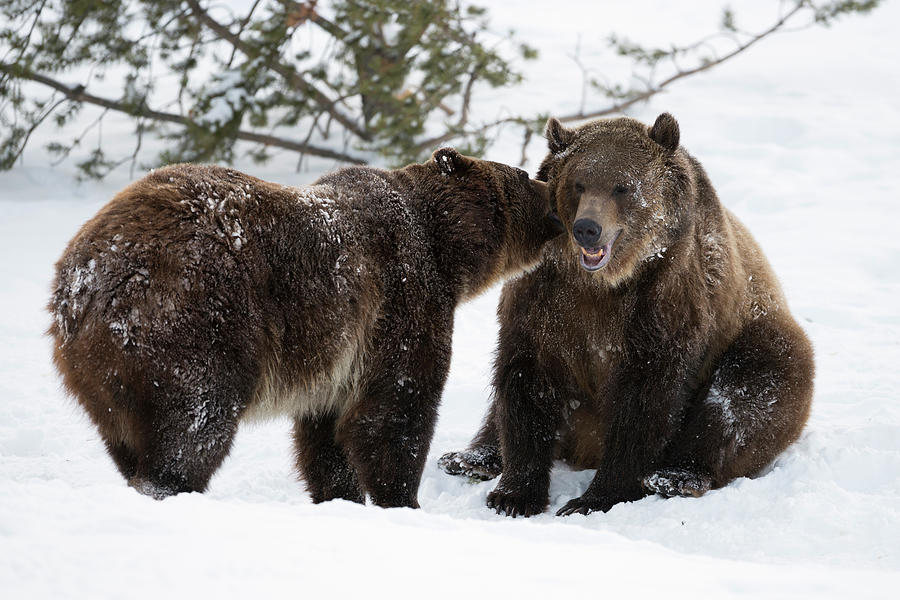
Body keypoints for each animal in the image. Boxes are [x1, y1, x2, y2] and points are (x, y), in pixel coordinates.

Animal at [49, 150, 564, 506]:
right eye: (523, 176)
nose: (555, 199)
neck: (446, 251)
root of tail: (84, 280)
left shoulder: (337, 359)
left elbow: (326, 436)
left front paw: (341, 496)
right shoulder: (402, 298)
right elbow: (395, 410)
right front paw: (402, 499)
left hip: (102, 376)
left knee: (129, 437)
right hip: (195, 318)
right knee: (195, 419)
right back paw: (170, 486)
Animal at [442, 113, 816, 516]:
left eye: (622, 187)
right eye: (578, 183)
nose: (587, 228)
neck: (602, 284)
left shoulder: (664, 302)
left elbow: (645, 401)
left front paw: (594, 498)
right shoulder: (543, 299)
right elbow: (526, 381)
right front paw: (514, 495)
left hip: (758, 338)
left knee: (741, 398)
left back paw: (677, 476)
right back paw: (469, 458)